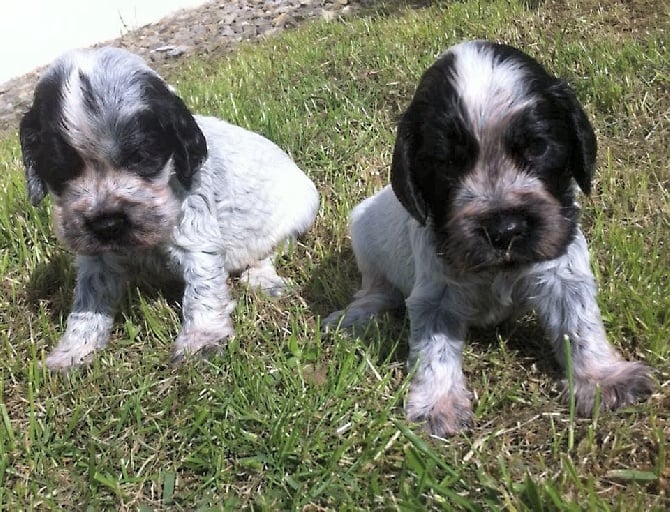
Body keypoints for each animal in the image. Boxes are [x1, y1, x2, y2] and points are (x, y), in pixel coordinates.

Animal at [18, 47, 318, 368]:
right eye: (60, 169)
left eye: (142, 158)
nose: (107, 224)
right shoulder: (94, 253)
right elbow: (88, 297)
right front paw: (74, 351)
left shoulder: (195, 230)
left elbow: (202, 287)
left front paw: (202, 339)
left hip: (302, 209)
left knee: (271, 250)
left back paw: (262, 278)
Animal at [326, 41, 656, 436]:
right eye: (446, 163)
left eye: (538, 147)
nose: (505, 231)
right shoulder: (436, 294)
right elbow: (434, 350)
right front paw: (437, 405)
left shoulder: (562, 271)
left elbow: (579, 324)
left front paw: (602, 378)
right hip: (362, 236)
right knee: (373, 289)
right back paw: (354, 316)